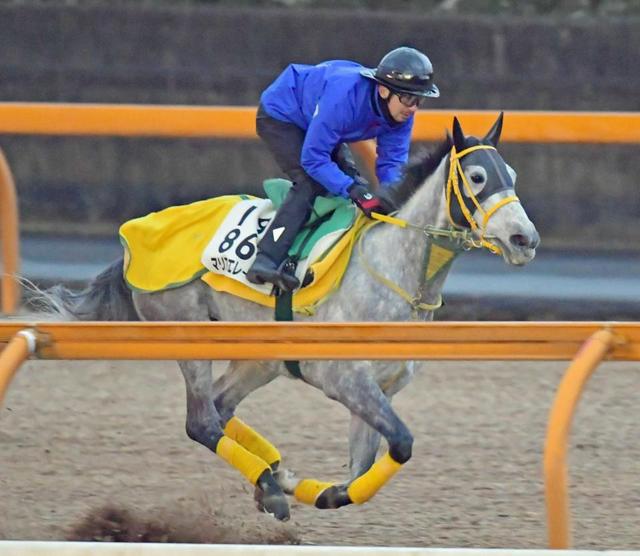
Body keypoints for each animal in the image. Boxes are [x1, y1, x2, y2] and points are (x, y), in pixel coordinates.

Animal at [32, 113, 536, 520]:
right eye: (476, 176)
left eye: (510, 173)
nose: (524, 239)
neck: (395, 268)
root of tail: (133, 235)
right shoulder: (343, 377)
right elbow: (401, 444)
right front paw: (301, 489)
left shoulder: (380, 387)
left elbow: (362, 472)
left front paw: (308, 486)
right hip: (185, 327)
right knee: (202, 421)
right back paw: (270, 485)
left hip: (261, 357)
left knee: (221, 406)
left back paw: (273, 477)